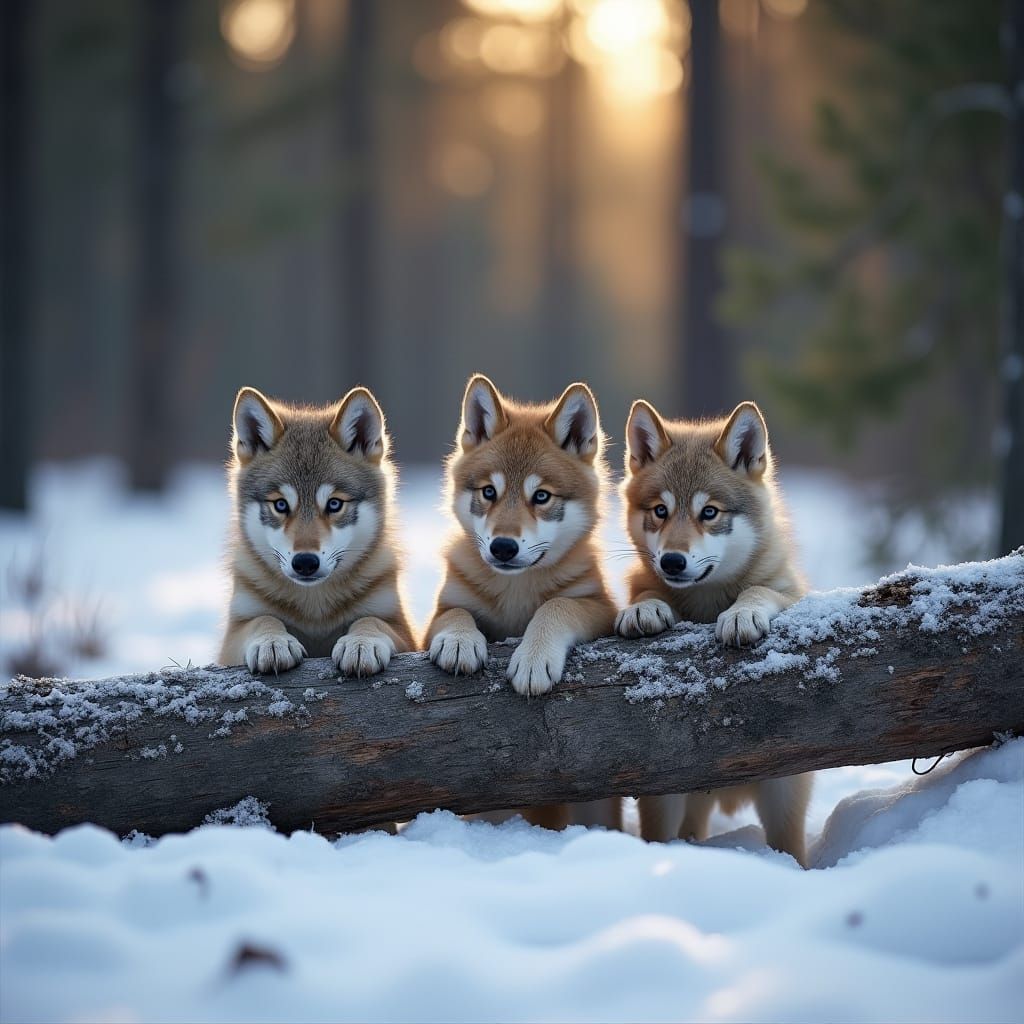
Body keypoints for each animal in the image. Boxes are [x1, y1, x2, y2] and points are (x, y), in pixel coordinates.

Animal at [218, 386, 415, 678]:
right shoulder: (233, 637)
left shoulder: (402, 628)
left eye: (334, 504)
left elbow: (370, 620)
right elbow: (263, 619)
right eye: (280, 505)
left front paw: (360, 643)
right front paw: (272, 642)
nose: (305, 563)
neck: (314, 607)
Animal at [425, 374, 619, 830]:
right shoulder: (436, 615)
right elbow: (456, 615)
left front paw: (533, 660)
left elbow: (555, 607)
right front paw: (459, 642)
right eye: (489, 492)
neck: (516, 593)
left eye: (542, 496)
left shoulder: (600, 608)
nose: (503, 547)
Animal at [616, 398, 813, 865]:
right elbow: (647, 593)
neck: (706, 602)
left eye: (709, 512)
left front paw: (741, 616)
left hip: (783, 799)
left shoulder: (789, 592)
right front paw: (645, 608)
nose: (672, 561)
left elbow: (759, 591)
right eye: (660, 511)